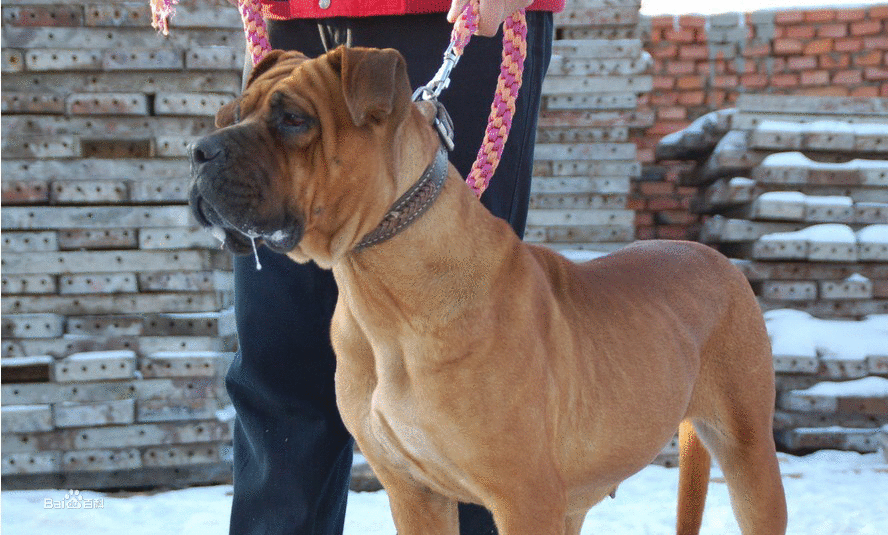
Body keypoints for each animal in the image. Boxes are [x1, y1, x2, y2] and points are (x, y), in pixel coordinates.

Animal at [193, 47, 784, 535]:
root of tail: (713, 255)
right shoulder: (415, 495)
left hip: (749, 458)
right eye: (229, 116)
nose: (199, 150)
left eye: (294, 119)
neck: (381, 290)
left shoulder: (525, 497)